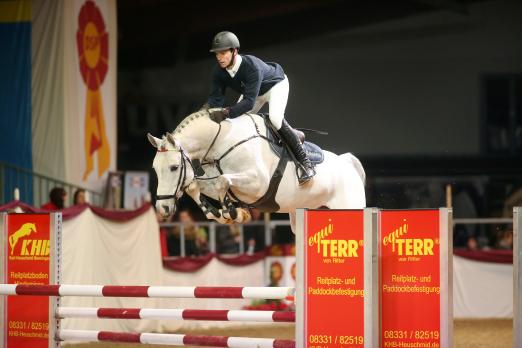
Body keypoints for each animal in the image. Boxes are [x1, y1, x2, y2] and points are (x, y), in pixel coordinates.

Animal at [147, 109, 366, 231]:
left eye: (174, 167)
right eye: (155, 169)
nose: (162, 209)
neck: (222, 143)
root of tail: (348, 162)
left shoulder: (258, 184)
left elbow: (223, 181)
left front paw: (232, 212)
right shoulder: (211, 180)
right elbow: (196, 186)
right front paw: (220, 214)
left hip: (349, 207)